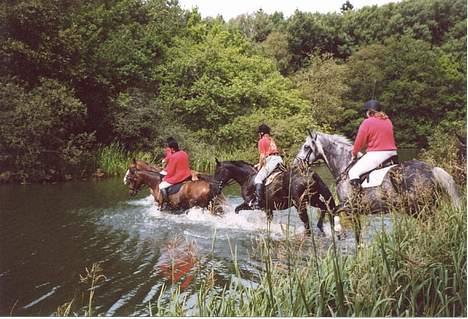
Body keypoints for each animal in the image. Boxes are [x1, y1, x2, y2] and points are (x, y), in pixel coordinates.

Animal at [294, 131, 462, 216]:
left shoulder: (349, 208)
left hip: (421, 207)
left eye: (306, 146)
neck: (344, 166)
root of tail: (431, 169)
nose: (296, 164)